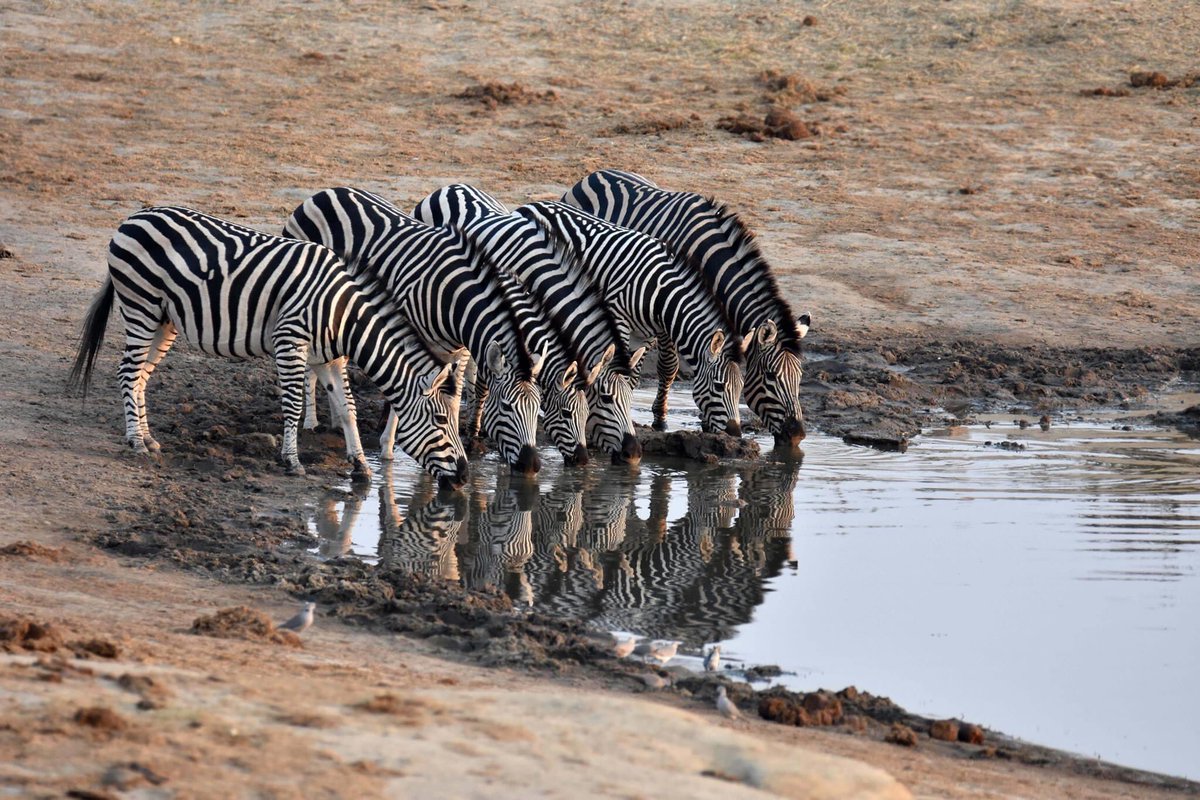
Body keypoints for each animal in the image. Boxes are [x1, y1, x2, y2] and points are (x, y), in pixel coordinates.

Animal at [65, 206, 468, 491]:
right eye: (441, 420)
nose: (465, 476)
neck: (343, 315)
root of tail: (133, 218)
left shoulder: (328, 356)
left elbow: (347, 408)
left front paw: (360, 465)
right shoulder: (290, 340)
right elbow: (292, 406)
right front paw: (292, 462)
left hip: (164, 320)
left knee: (141, 377)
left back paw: (149, 438)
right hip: (141, 307)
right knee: (127, 372)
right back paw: (135, 441)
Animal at [280, 188, 544, 474]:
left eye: (537, 407)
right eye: (506, 407)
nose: (531, 465)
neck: (451, 297)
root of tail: (325, 192)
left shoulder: (461, 351)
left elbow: (452, 398)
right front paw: (387, 448)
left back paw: (337, 422)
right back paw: (311, 421)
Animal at [513, 200, 744, 438]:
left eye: (741, 387)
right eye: (719, 386)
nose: (735, 432)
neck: (659, 291)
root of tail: (530, 205)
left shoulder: (647, 334)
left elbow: (633, 376)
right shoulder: (619, 317)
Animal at [564, 170, 811, 448]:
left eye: (799, 378)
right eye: (770, 377)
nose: (798, 435)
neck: (709, 262)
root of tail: (597, 173)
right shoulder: (665, 313)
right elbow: (668, 366)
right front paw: (659, 419)